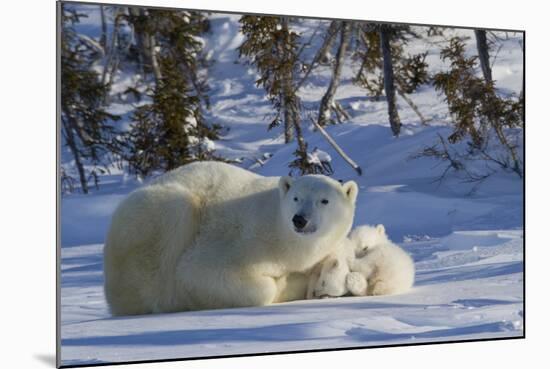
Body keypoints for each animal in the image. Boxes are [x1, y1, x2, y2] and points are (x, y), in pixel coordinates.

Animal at [105, 161, 360, 314]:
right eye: (296, 197)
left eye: (324, 201)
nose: (299, 220)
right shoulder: (242, 241)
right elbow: (198, 273)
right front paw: (287, 283)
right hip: (156, 219)